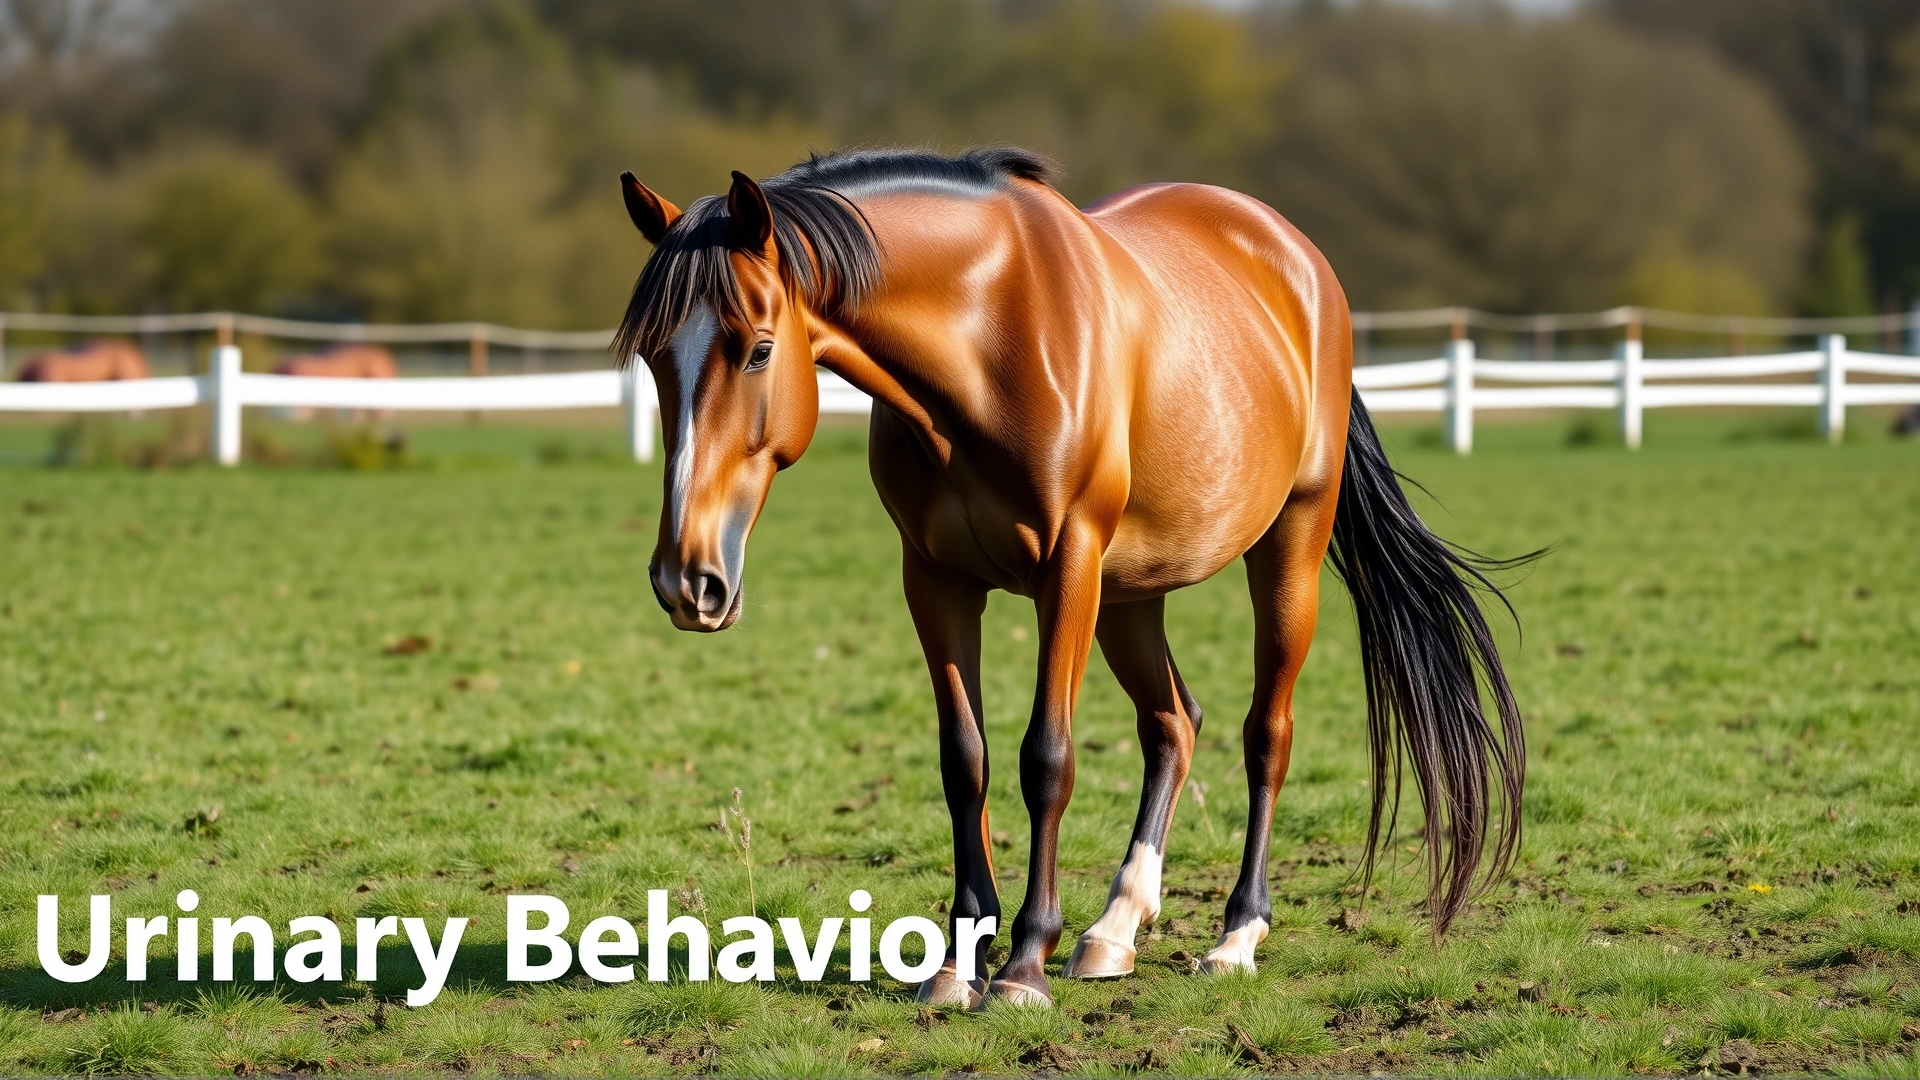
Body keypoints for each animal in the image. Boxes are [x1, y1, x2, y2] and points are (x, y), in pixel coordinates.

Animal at [614, 148, 1528, 1008]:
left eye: (760, 349)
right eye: (655, 358)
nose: (687, 580)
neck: (989, 337)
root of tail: (1297, 259)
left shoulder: (1069, 565)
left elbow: (1045, 759)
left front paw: (1023, 963)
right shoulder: (935, 581)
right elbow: (965, 760)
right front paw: (959, 960)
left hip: (1284, 547)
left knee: (1265, 732)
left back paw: (1235, 936)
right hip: (1131, 593)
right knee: (1173, 723)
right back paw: (1115, 929)